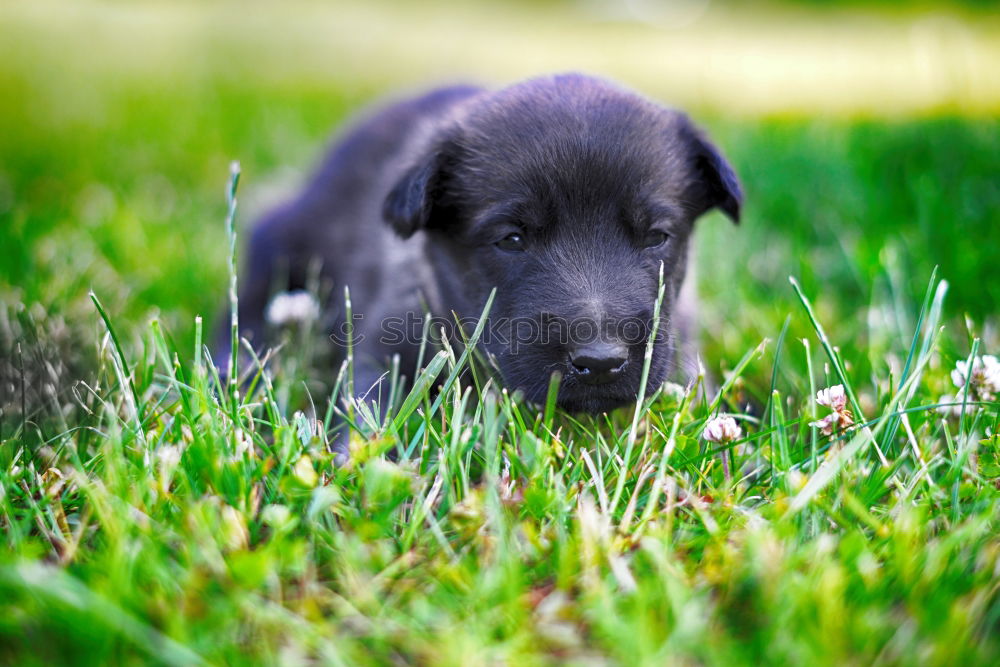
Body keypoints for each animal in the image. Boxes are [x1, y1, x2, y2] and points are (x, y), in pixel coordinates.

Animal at [225, 73, 744, 446]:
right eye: (511, 239)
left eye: (656, 236)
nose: (599, 361)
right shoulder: (390, 340)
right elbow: (372, 411)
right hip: (287, 239)